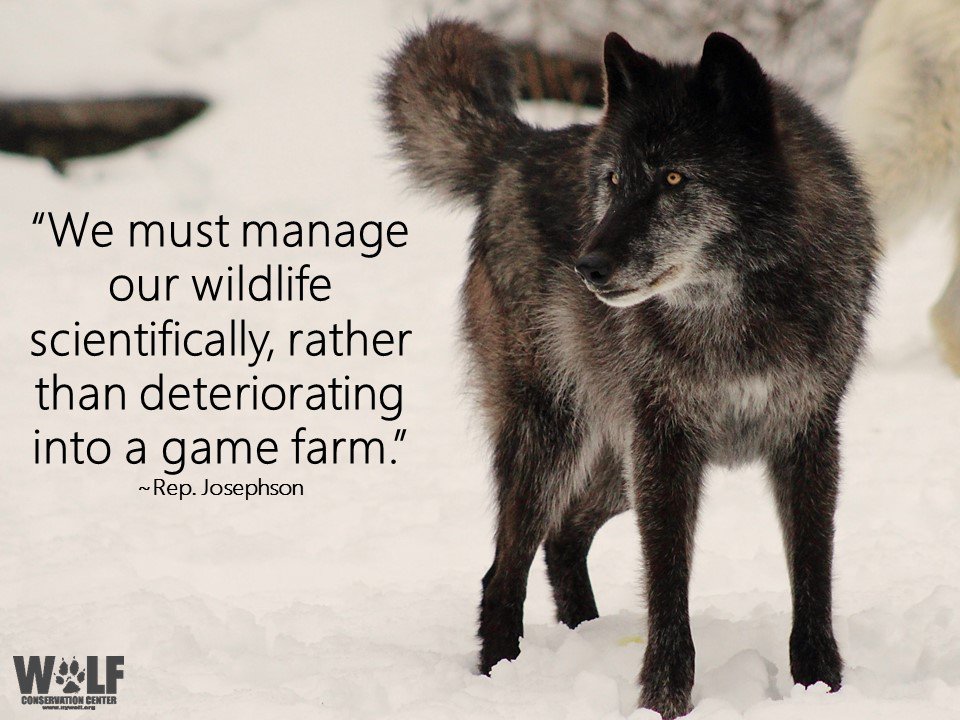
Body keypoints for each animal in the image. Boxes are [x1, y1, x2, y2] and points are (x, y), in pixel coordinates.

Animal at [382, 21, 876, 718]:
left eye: (673, 177)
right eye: (614, 179)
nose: (586, 267)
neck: (732, 311)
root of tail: (521, 146)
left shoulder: (807, 439)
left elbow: (812, 578)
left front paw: (820, 687)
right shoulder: (666, 447)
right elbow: (667, 587)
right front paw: (663, 700)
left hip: (618, 462)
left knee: (562, 538)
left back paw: (583, 635)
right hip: (557, 441)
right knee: (503, 569)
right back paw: (502, 674)